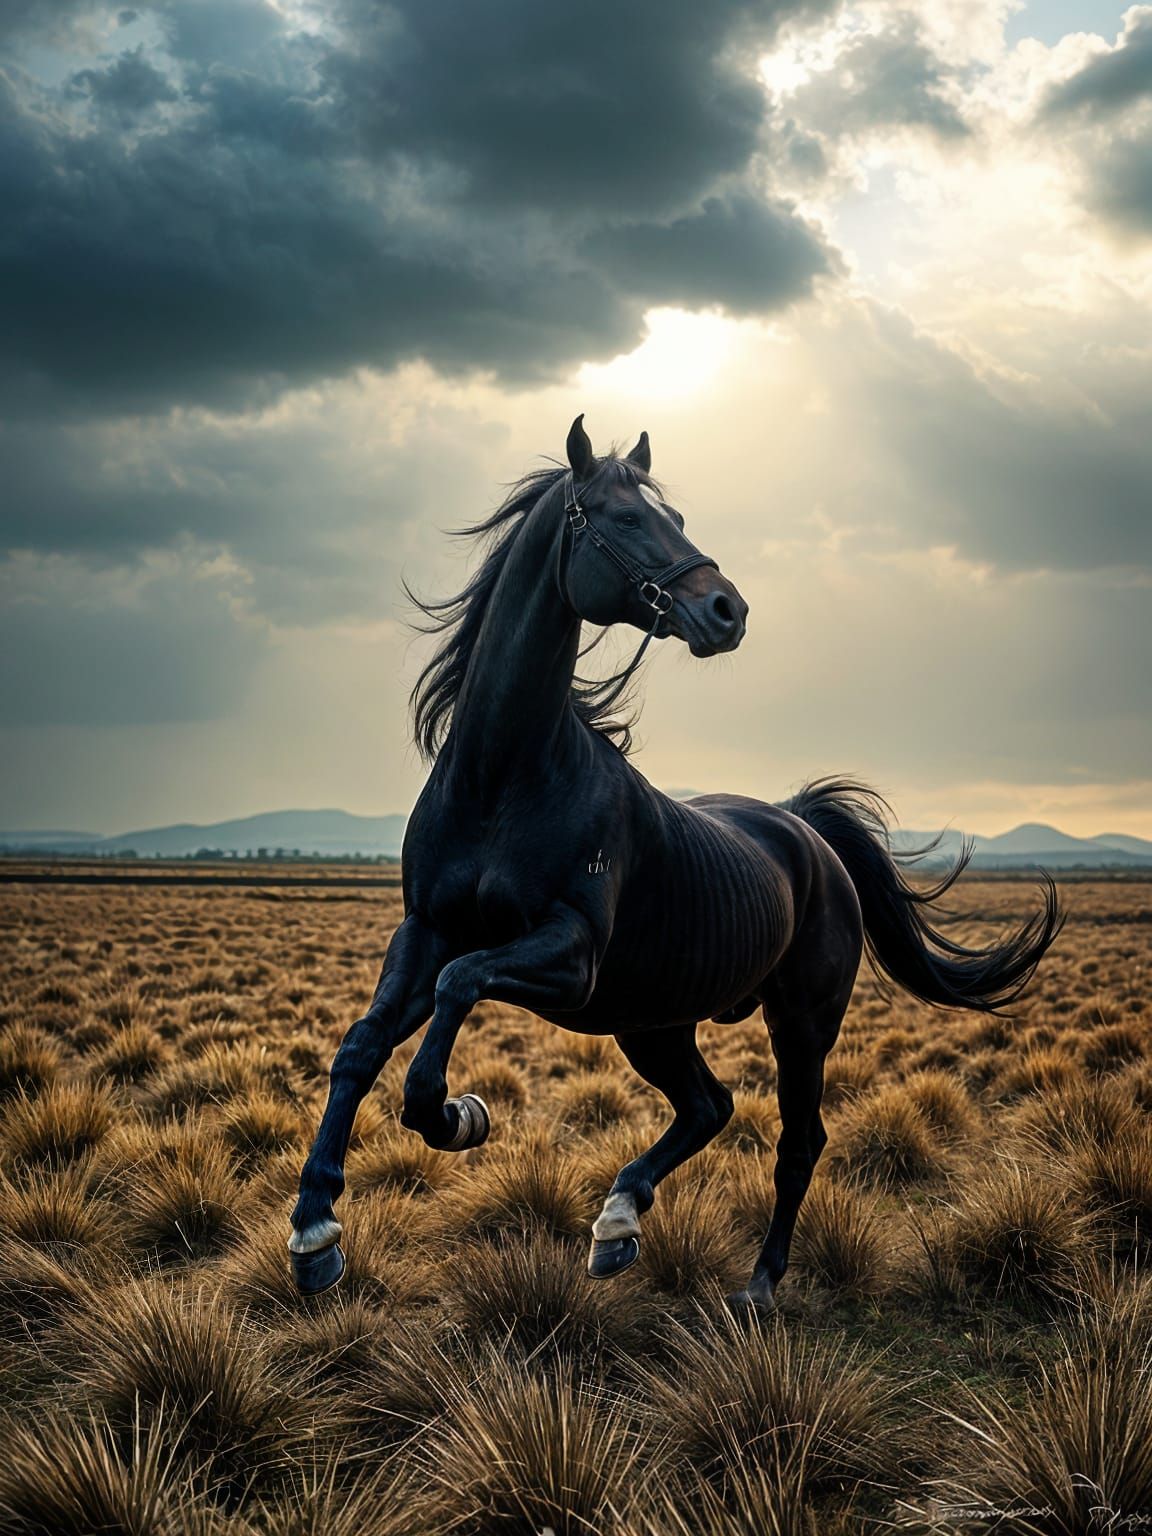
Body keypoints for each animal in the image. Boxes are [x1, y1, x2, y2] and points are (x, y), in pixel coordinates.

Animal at [289, 415, 1062, 1308]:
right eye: (625, 518)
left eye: (678, 518)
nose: (727, 610)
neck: (502, 775)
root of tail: (808, 835)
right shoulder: (426, 932)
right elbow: (363, 1043)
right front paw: (314, 1230)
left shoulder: (571, 957)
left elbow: (456, 995)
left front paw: (457, 1115)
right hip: (652, 1020)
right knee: (708, 1106)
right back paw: (618, 1220)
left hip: (797, 1021)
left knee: (797, 1139)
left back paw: (757, 1285)